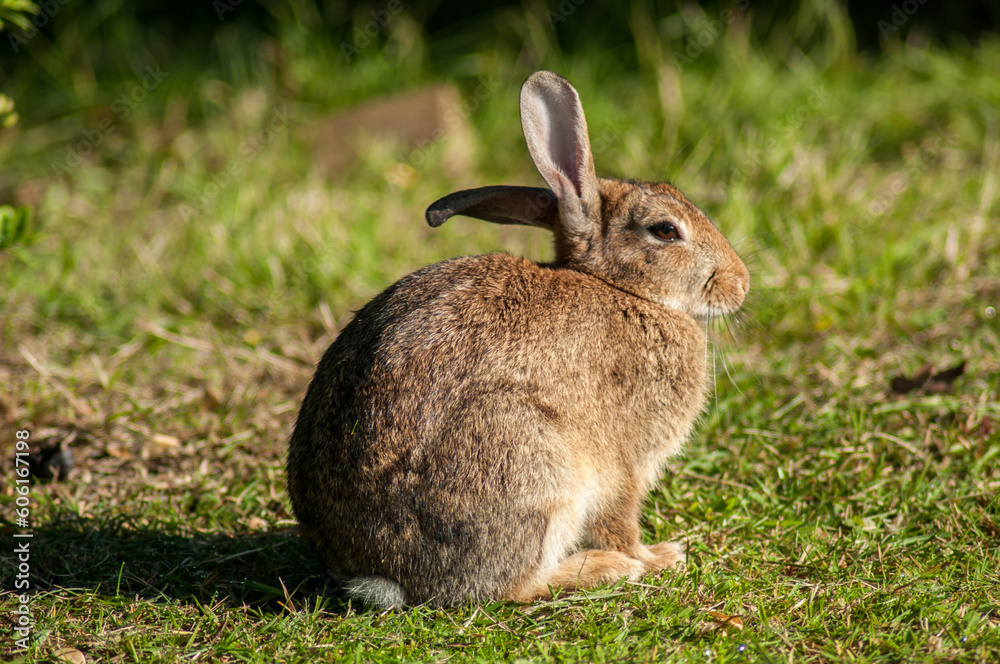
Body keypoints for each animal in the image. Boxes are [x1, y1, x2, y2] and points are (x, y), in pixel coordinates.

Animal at [287, 70, 749, 608]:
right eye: (666, 231)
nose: (741, 284)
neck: (623, 290)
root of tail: (382, 572)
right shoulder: (624, 463)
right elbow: (620, 520)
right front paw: (656, 558)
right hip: (532, 464)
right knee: (515, 586)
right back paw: (602, 569)